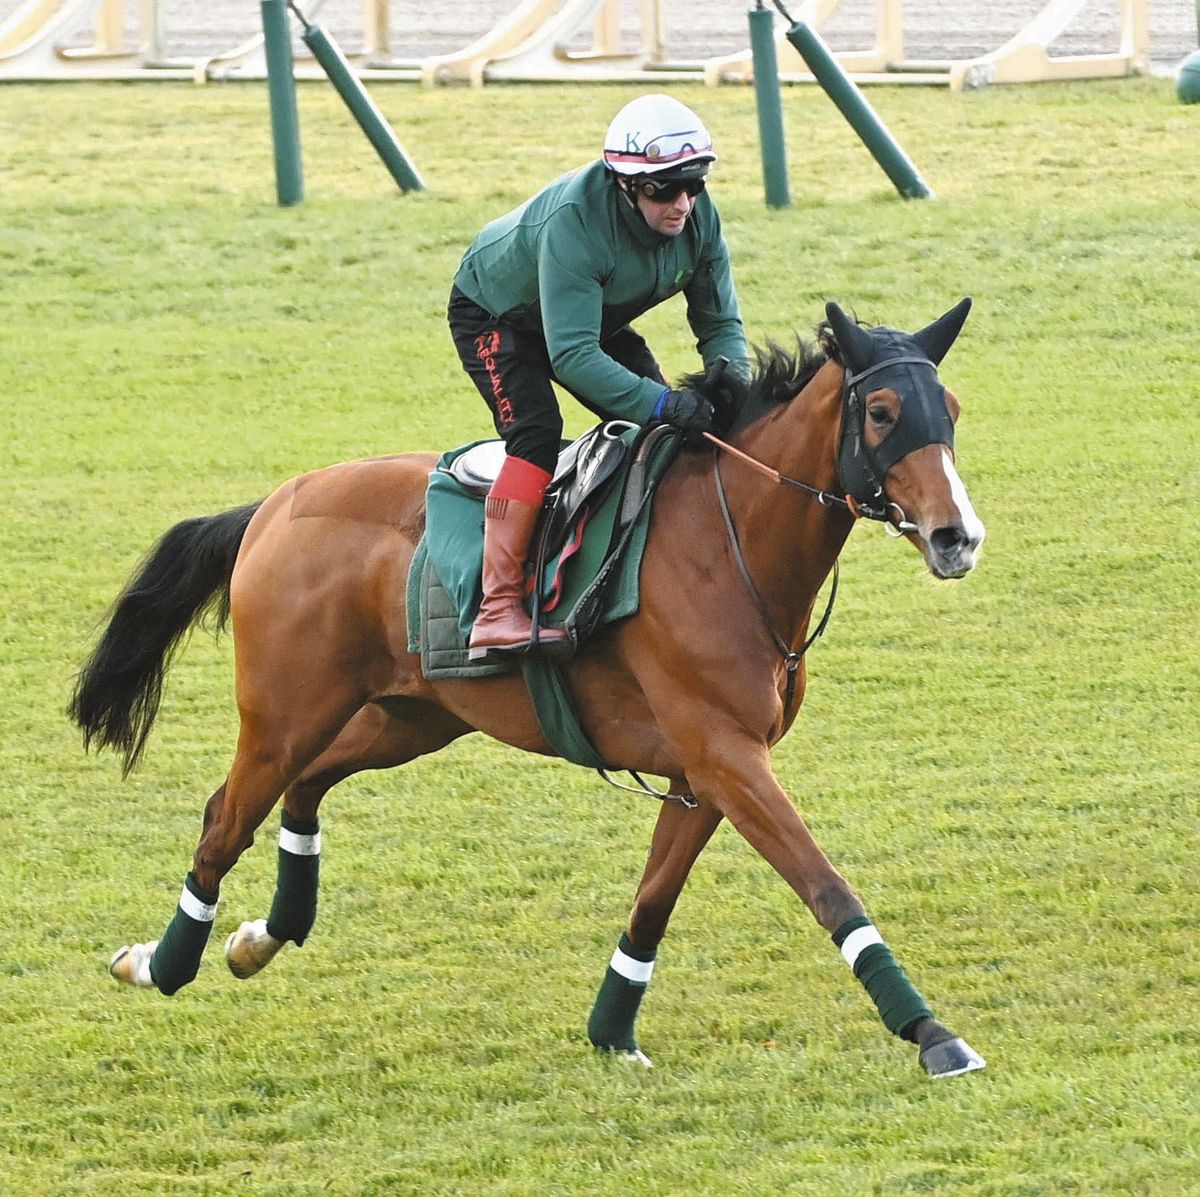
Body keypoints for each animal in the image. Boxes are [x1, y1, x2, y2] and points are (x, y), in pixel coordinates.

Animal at [70, 300, 987, 1079]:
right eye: (881, 412)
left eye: (949, 407)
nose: (958, 536)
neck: (728, 543)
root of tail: (274, 503)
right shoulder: (726, 756)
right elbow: (826, 884)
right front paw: (930, 1033)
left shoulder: (706, 772)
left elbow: (653, 900)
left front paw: (611, 1030)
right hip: (285, 714)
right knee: (225, 818)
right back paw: (160, 963)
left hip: (410, 715)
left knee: (307, 786)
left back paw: (262, 936)